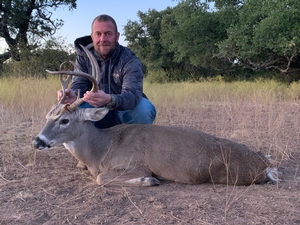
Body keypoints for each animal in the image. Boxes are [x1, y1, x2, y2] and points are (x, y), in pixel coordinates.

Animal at [32, 44, 282, 187]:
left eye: (64, 120)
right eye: (47, 117)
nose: (37, 141)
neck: (101, 149)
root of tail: (263, 166)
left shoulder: (135, 164)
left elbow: (101, 179)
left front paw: (149, 180)